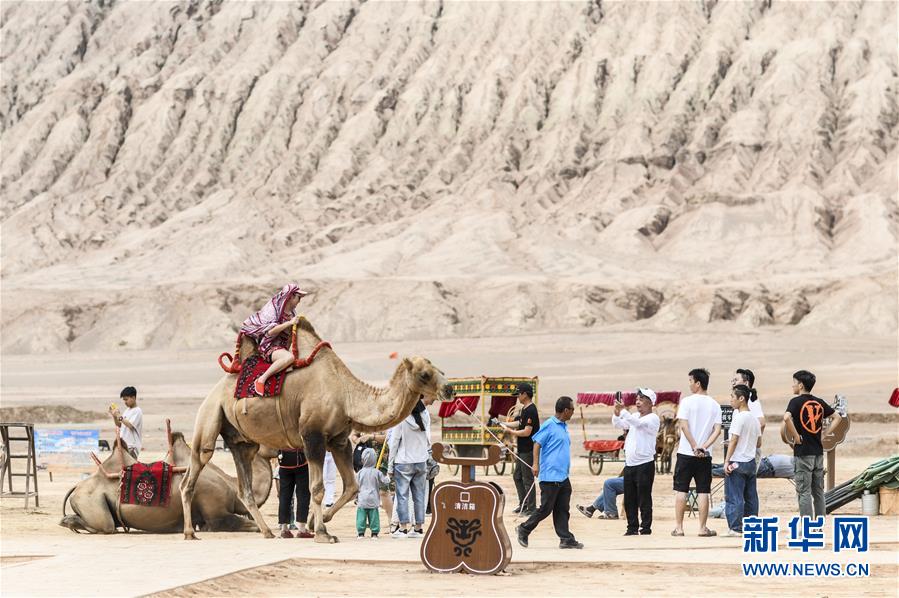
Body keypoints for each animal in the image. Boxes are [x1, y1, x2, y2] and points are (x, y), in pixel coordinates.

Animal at [59, 432, 272, 536]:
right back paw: (68, 522)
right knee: (106, 525)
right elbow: (248, 525)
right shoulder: (215, 512)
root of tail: (76, 488)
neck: (230, 485)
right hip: (90, 500)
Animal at [181, 318, 458, 544]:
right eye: (425, 374)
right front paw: (323, 534)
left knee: (245, 487)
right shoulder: (312, 436)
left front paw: (316, 524)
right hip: (209, 416)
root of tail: (215, 391)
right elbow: (316, 488)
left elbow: (352, 486)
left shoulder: (338, 440)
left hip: (243, 442)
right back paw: (189, 532)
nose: (450, 389)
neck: (346, 396)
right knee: (194, 470)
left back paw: (267, 532)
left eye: (441, 370)